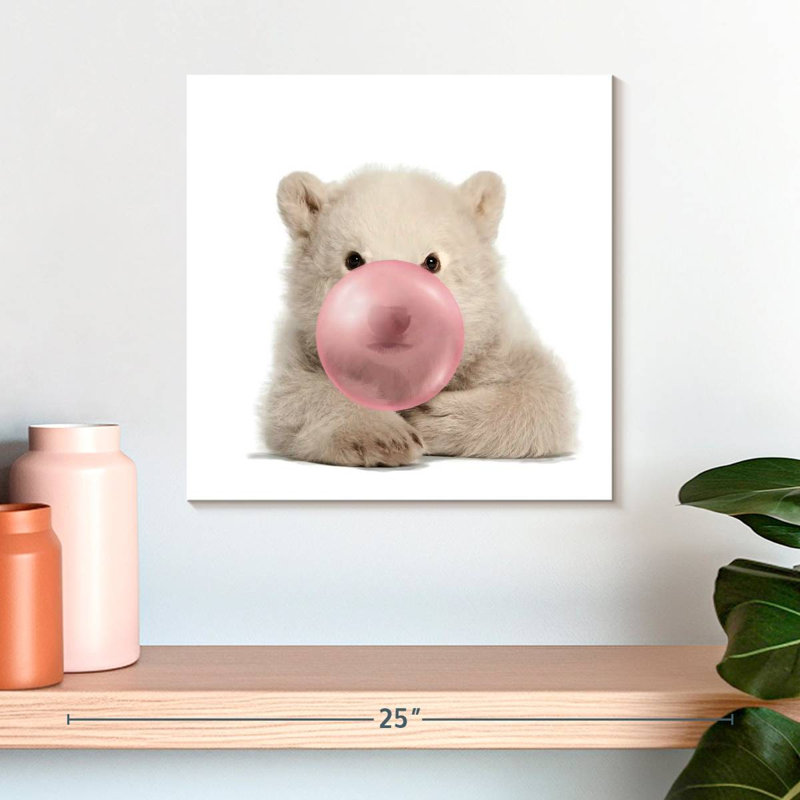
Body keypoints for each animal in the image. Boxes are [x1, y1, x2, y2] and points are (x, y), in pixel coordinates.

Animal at [260, 167, 576, 467]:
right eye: (353, 259)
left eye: (431, 262)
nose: (390, 318)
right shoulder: (305, 346)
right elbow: (291, 396)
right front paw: (386, 435)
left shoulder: (494, 343)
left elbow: (546, 393)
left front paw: (426, 415)